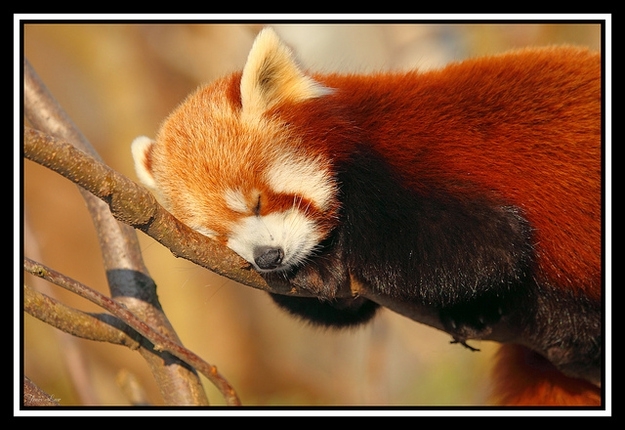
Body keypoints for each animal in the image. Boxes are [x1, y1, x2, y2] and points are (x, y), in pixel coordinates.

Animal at [130, 27, 600, 406]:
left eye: (258, 203)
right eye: (217, 235)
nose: (267, 257)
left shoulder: (407, 165)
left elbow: (489, 249)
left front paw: (324, 262)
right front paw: (319, 272)